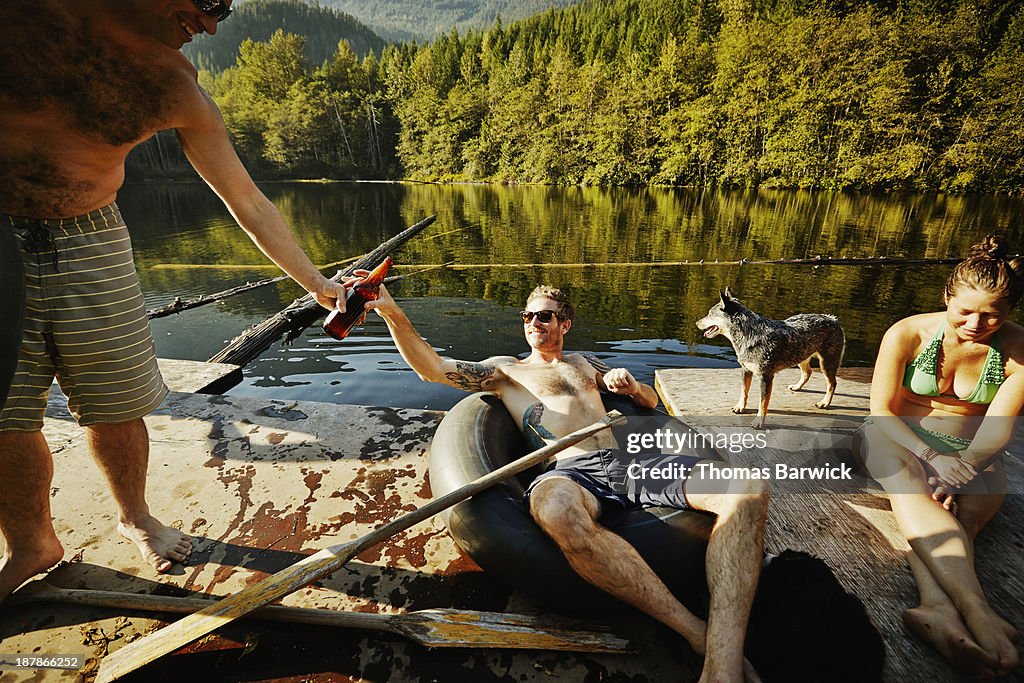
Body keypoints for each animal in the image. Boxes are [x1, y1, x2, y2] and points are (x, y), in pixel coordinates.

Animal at [696, 288, 847, 428]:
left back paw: (825, 402)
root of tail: (833, 319)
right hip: (801, 356)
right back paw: (797, 387)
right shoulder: (746, 370)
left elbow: (763, 402)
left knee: (832, 383)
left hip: (827, 363)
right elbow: (744, 392)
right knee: (807, 372)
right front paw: (740, 407)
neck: (750, 334)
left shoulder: (766, 377)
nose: (697, 323)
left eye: (710, 313)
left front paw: (759, 421)